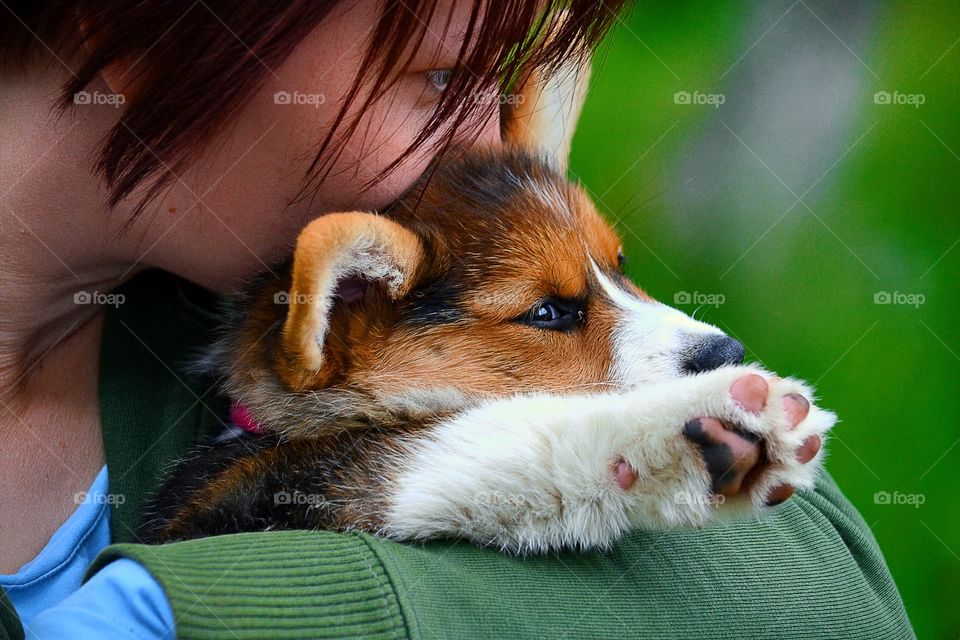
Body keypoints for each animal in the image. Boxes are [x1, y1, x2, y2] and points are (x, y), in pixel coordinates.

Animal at [139, 58, 836, 556]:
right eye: (548, 313)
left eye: (621, 266)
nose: (728, 352)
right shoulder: (281, 496)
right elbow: (472, 443)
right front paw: (708, 419)